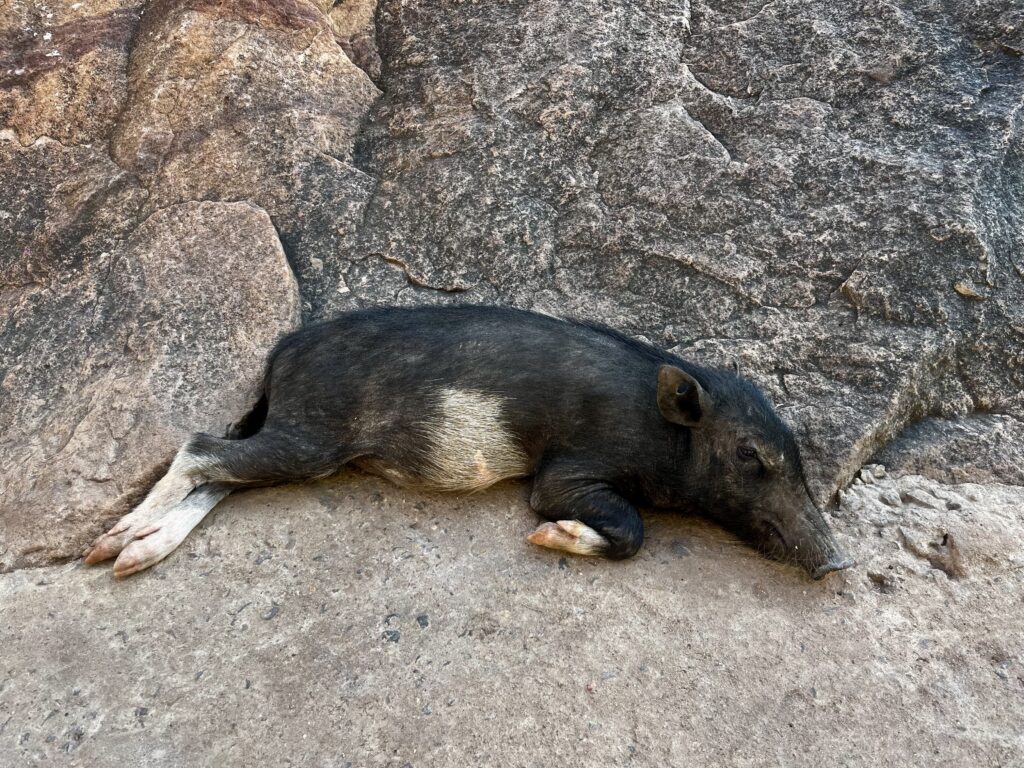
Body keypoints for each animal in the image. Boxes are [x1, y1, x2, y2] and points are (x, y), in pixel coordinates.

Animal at [86, 303, 856, 581]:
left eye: (796, 462)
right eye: (751, 457)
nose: (838, 560)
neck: (659, 430)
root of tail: (283, 354)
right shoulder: (570, 469)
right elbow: (628, 529)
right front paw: (546, 539)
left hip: (298, 440)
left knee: (219, 477)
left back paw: (129, 558)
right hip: (313, 435)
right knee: (198, 446)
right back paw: (108, 549)